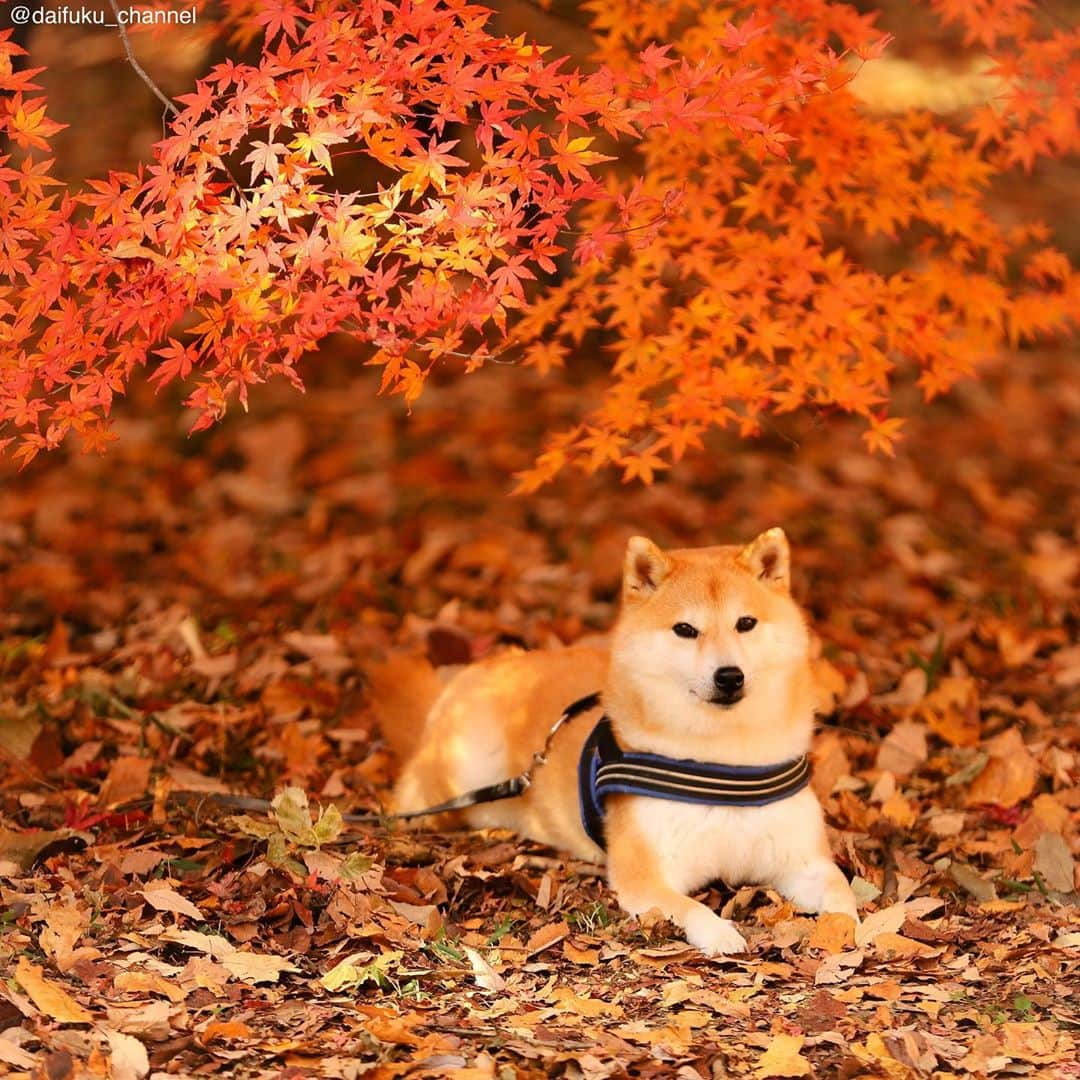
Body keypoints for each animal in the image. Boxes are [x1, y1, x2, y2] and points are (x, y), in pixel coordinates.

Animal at [371, 527, 859, 959]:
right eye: (685, 630)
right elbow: (691, 908)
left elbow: (843, 895)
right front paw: (721, 932)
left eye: (746, 623)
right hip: (457, 778)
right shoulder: (647, 875)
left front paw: (846, 930)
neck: (723, 765)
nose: (729, 675)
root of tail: (468, 677)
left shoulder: (804, 861)